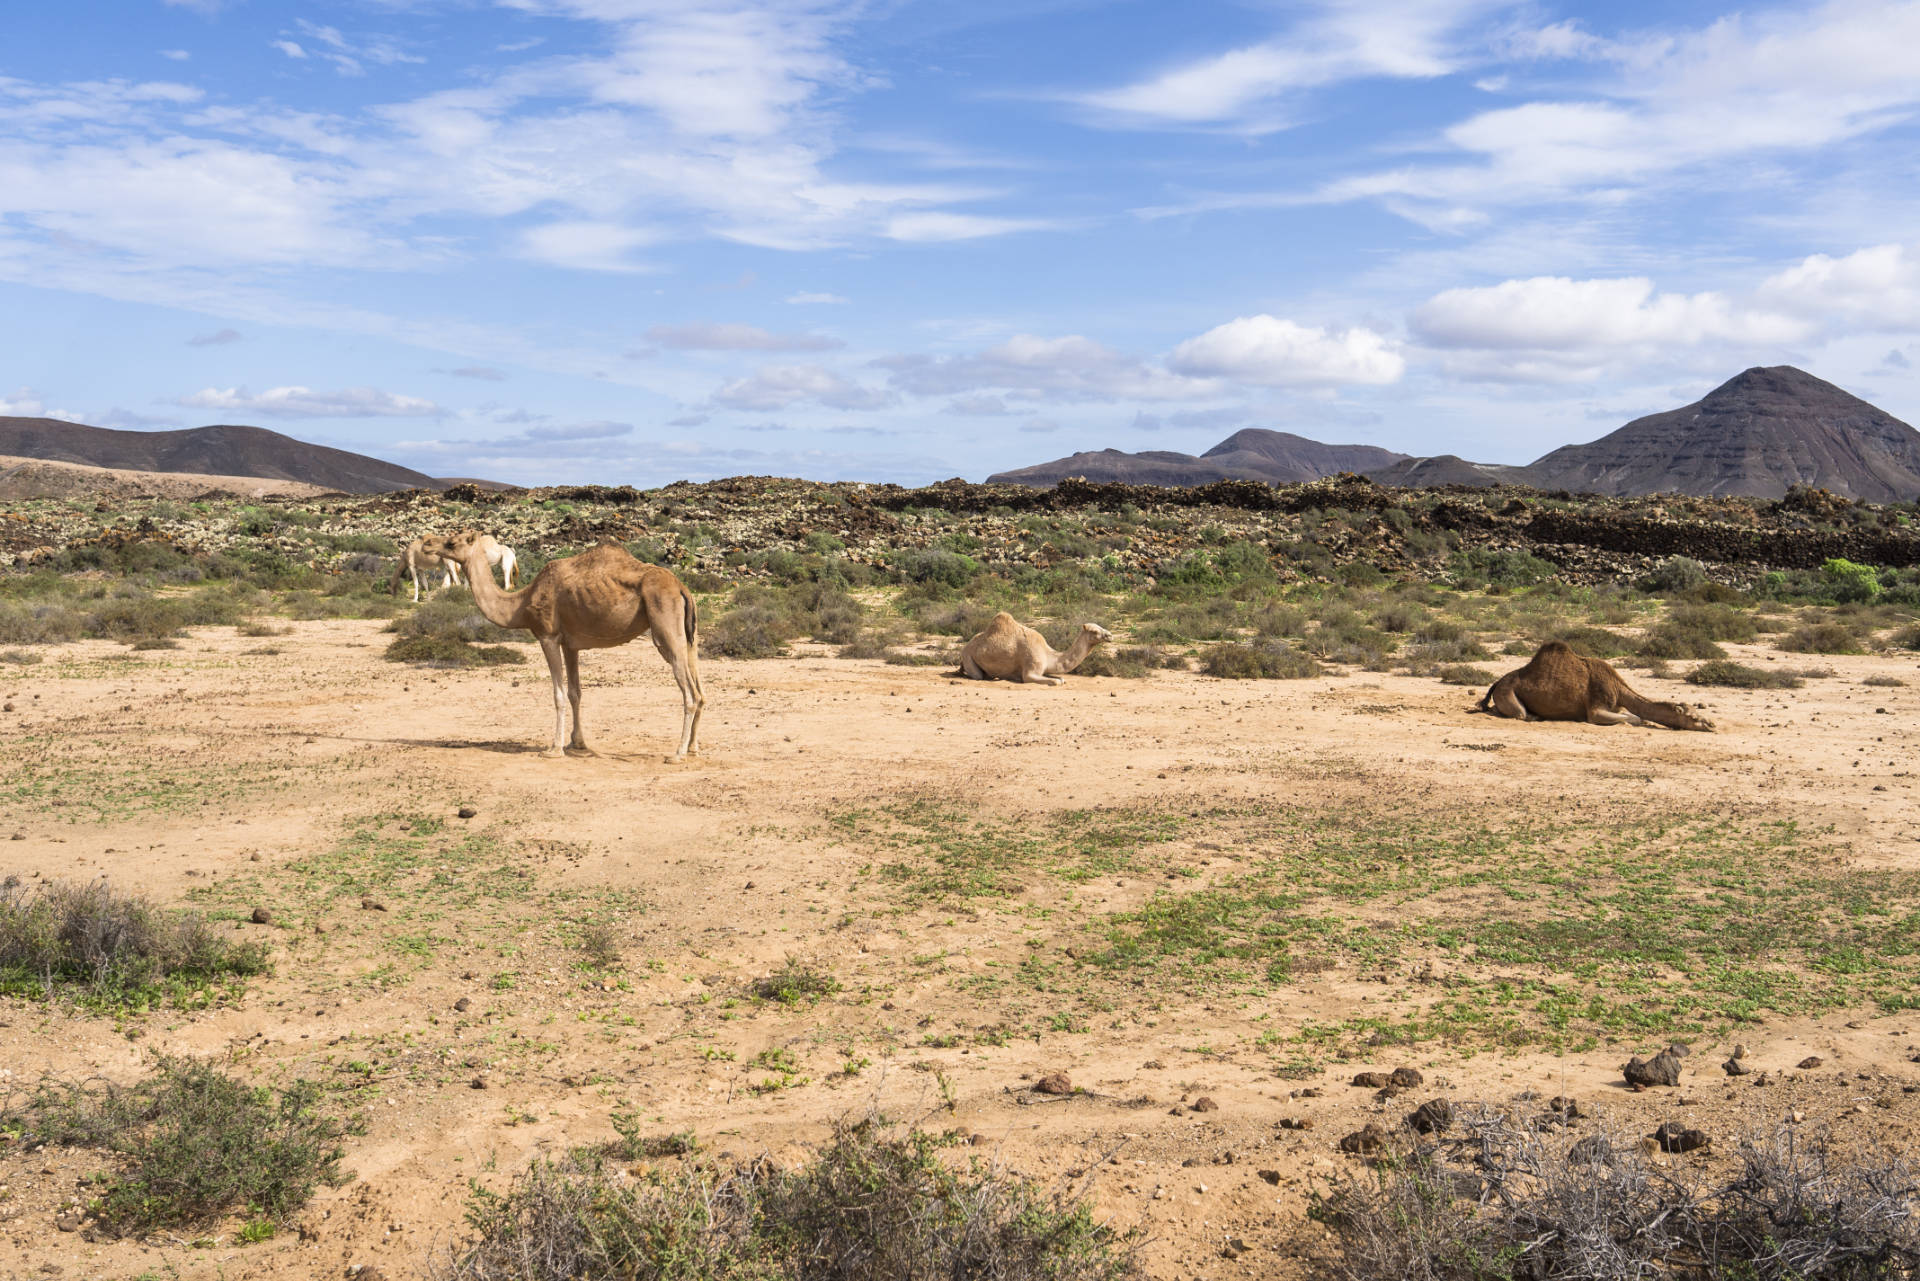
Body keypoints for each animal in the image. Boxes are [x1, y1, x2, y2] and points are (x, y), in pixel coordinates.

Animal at [420, 533, 706, 760]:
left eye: (451, 541)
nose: (426, 543)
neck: (520, 605)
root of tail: (682, 588)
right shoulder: (571, 644)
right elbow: (575, 693)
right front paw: (577, 743)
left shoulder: (548, 636)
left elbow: (557, 694)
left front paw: (554, 749)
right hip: (688, 635)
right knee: (701, 691)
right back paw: (694, 747)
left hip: (665, 627)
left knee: (690, 694)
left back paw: (678, 753)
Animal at [960, 614, 1113, 687]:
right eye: (1094, 631)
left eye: (1100, 626)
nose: (1110, 635)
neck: (1048, 654)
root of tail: (966, 646)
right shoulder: (1030, 669)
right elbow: (1055, 682)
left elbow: (1061, 679)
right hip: (968, 657)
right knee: (977, 676)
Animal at [1466, 641, 1712, 729]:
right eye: (1693, 717)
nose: (1711, 724)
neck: (1619, 690)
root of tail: (1497, 682)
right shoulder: (1596, 709)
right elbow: (1634, 718)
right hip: (1509, 692)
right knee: (1519, 713)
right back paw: (1534, 716)